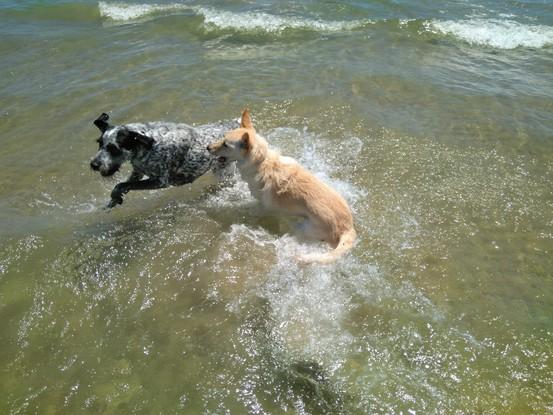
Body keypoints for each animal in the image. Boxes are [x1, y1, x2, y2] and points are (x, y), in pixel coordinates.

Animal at [90, 113, 237, 208]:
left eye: (113, 148)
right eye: (99, 143)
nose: (94, 165)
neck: (147, 145)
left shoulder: (160, 181)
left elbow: (122, 185)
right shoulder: (138, 171)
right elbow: (121, 186)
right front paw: (114, 199)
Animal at [206, 110, 354, 264]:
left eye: (226, 144)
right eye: (222, 138)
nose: (207, 147)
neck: (262, 162)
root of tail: (348, 228)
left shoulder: (263, 205)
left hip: (304, 227)